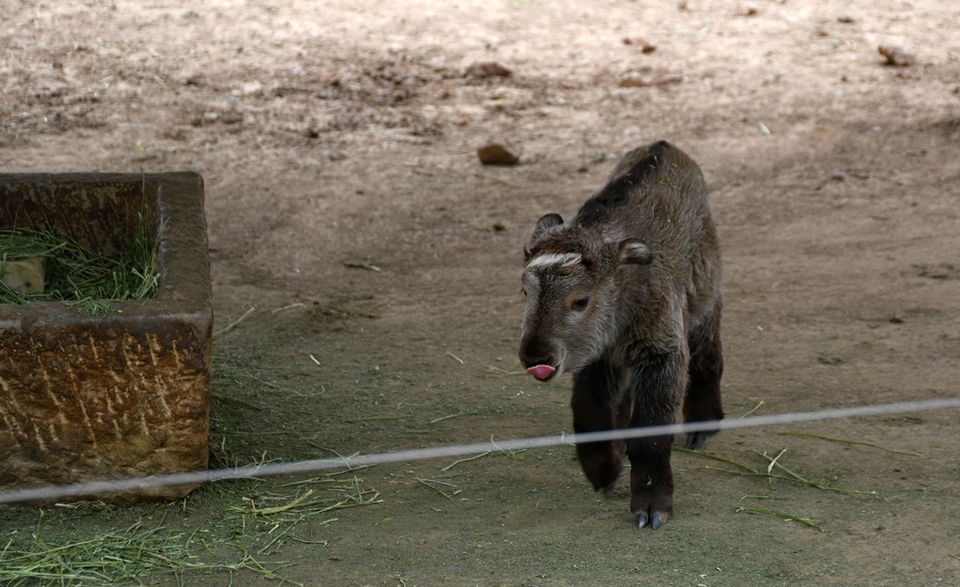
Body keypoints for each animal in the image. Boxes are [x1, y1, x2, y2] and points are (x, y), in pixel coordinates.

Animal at [520, 141, 724, 532]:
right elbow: (589, 413)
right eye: (525, 293)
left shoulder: (662, 350)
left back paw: (703, 424)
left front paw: (652, 506)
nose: (536, 357)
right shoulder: (598, 356)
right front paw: (603, 472)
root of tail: (667, 146)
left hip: (704, 297)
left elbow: (650, 433)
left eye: (580, 300)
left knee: (709, 352)